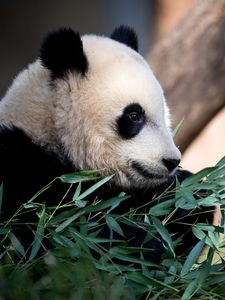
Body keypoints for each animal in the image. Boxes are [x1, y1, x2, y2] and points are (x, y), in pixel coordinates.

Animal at [0, 25, 212, 260]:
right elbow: (49, 236)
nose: (172, 161)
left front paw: (186, 197)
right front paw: (142, 241)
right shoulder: (19, 168)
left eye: (165, 116)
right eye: (134, 116)